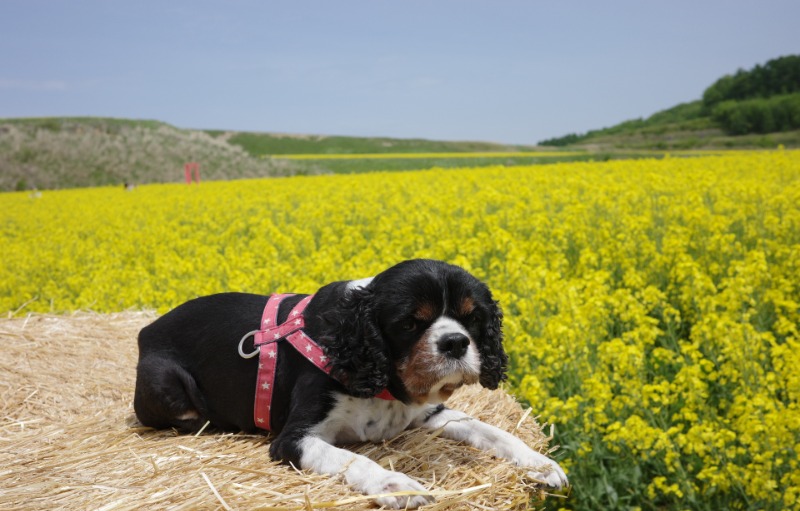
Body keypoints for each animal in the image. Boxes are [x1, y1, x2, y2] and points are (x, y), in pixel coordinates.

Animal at [133, 260, 568, 508]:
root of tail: (145, 329)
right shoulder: (294, 438)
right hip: (169, 386)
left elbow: (491, 431)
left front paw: (541, 463)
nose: (455, 342)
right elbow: (351, 458)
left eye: (473, 317)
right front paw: (396, 483)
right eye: (409, 323)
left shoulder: (430, 412)